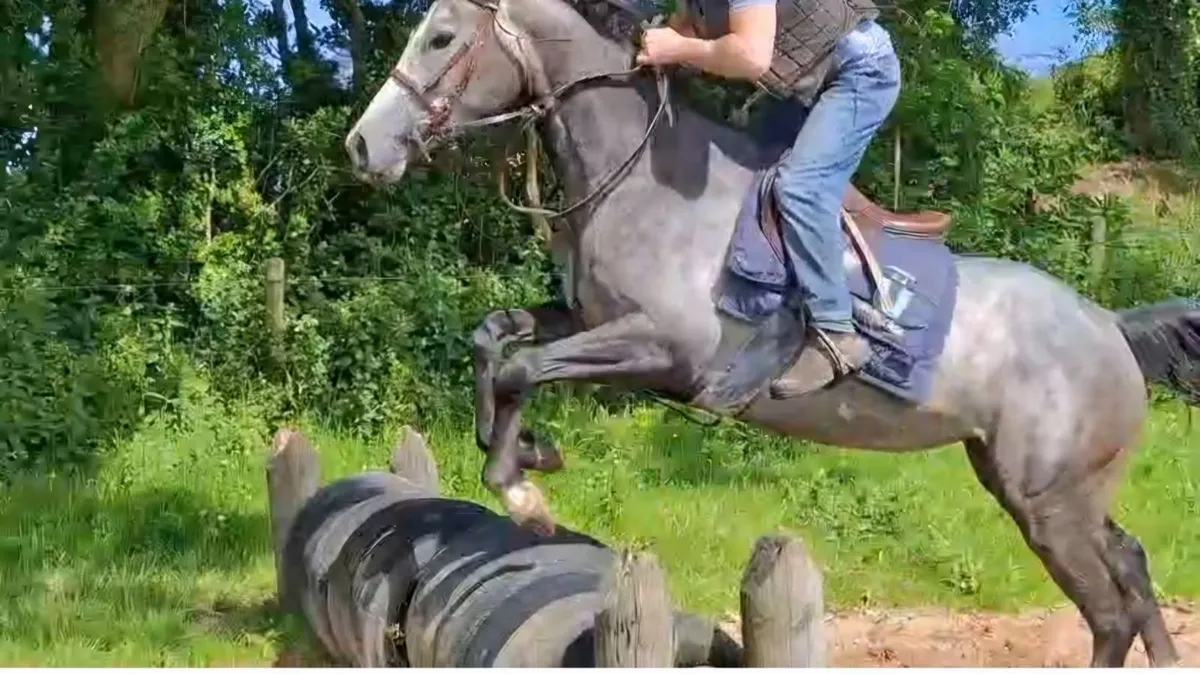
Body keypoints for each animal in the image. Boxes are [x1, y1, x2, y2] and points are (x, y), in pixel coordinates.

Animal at [342, 0, 1200, 665]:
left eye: (442, 37)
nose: (361, 146)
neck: (638, 176)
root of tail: (1111, 328)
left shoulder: (663, 349)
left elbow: (525, 368)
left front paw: (521, 488)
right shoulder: (590, 318)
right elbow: (494, 340)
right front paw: (522, 448)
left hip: (1048, 505)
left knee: (1109, 612)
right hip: (1048, 488)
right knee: (1131, 568)